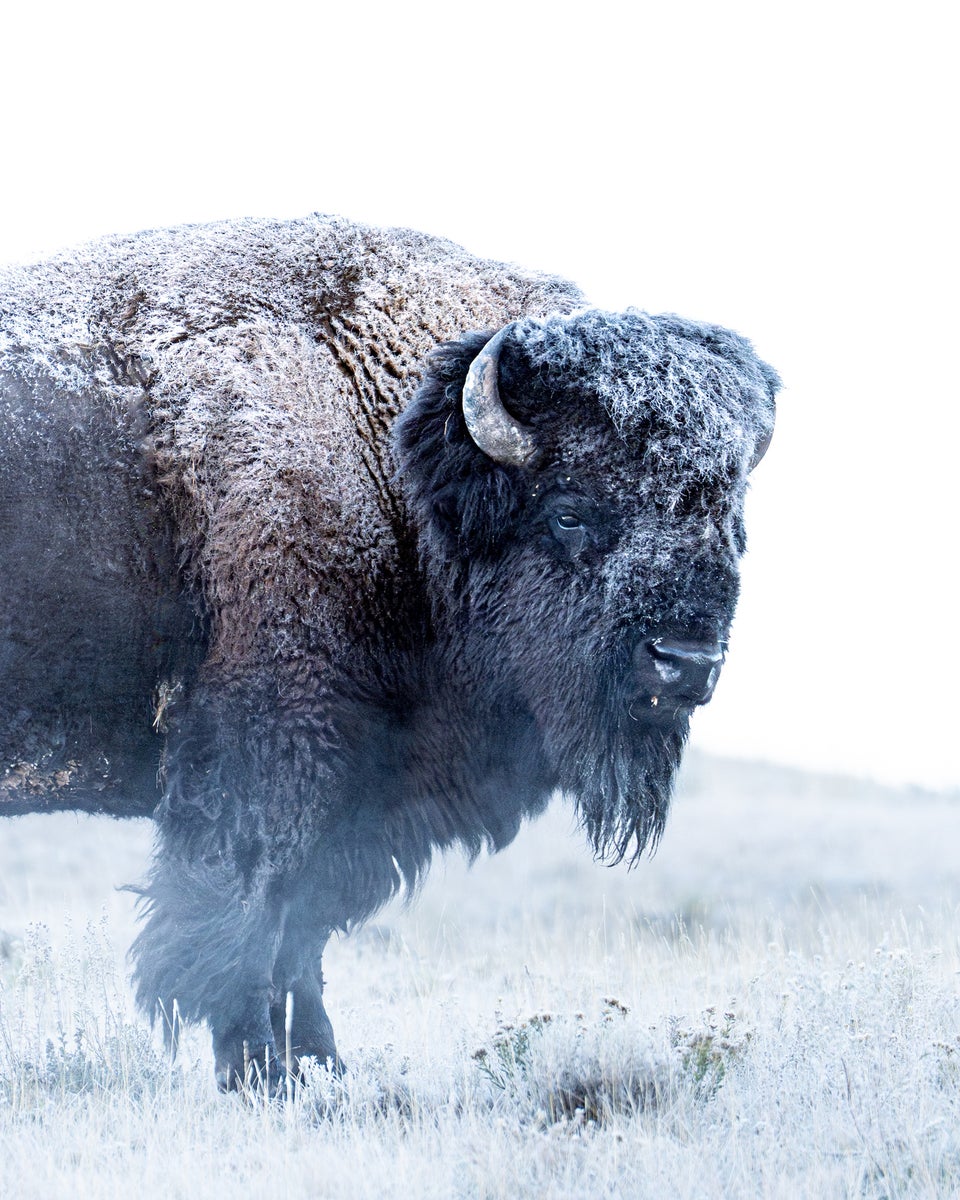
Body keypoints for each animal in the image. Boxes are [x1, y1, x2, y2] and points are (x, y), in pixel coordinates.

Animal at [0, 214, 778, 1089]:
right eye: (569, 510)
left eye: (729, 519)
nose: (686, 662)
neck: (393, 460)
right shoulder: (269, 762)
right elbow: (244, 920)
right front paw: (260, 1072)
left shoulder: (355, 798)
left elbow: (301, 938)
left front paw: (322, 1068)